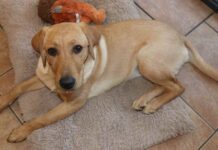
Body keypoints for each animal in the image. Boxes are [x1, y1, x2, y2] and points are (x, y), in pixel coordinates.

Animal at [0, 19, 218, 143]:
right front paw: (3, 101)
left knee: (179, 86)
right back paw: (144, 100)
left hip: (147, 60)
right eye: (51, 51)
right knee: (166, 85)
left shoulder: (74, 103)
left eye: (78, 48)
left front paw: (20, 131)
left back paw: (153, 104)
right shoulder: (42, 78)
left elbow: (42, 118)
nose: (67, 83)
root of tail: (181, 36)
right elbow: (17, 87)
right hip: (147, 67)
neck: (54, 76)